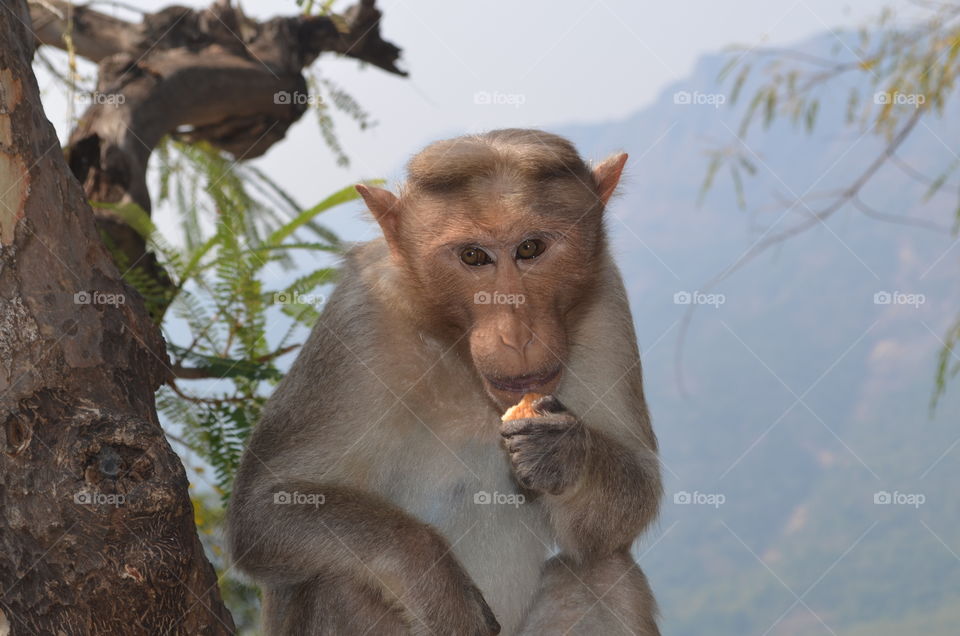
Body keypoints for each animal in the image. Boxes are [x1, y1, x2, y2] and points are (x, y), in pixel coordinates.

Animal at [227, 129, 663, 635]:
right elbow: (266, 507)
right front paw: (436, 582)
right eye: (473, 256)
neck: (459, 358)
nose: (516, 335)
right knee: (337, 586)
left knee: (607, 574)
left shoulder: (605, 297)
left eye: (531, 248)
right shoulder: (358, 319)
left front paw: (564, 453)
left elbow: (632, 494)